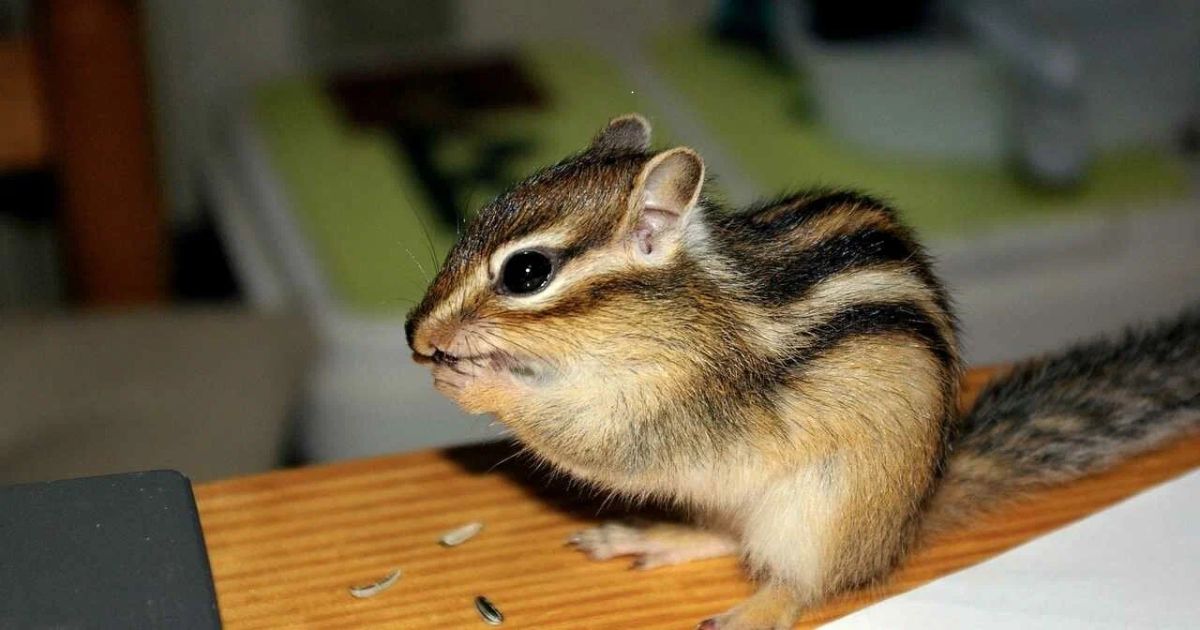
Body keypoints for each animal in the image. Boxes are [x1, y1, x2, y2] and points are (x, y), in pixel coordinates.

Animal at [405, 114, 1200, 629]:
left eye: (527, 272)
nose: (415, 333)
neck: (682, 309)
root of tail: (908, 521)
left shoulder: (683, 407)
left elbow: (600, 444)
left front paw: (476, 382)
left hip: (819, 515)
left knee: (806, 584)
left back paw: (751, 612)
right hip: (737, 502)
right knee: (727, 537)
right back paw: (654, 537)